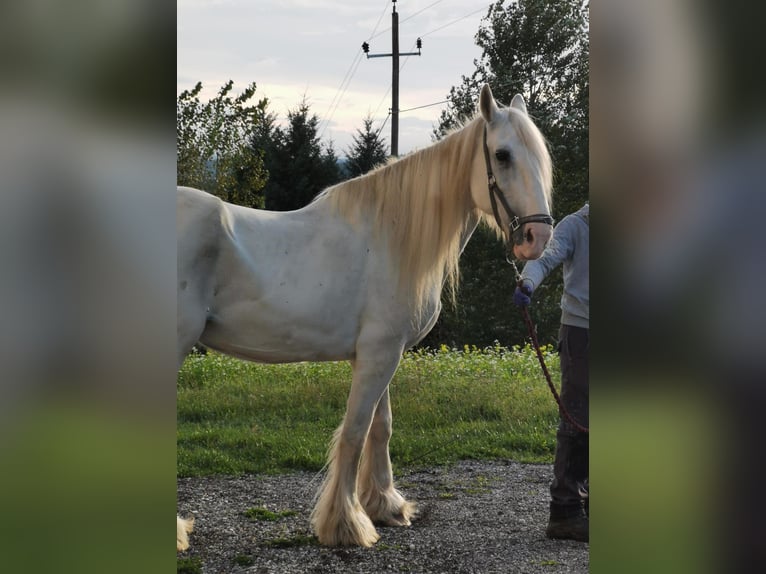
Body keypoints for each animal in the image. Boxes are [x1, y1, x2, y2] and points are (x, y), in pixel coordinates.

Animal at [176, 84, 553, 548]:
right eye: (502, 155)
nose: (538, 236)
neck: (389, 237)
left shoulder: (380, 353)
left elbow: (380, 427)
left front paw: (386, 506)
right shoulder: (379, 354)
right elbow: (355, 432)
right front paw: (346, 524)